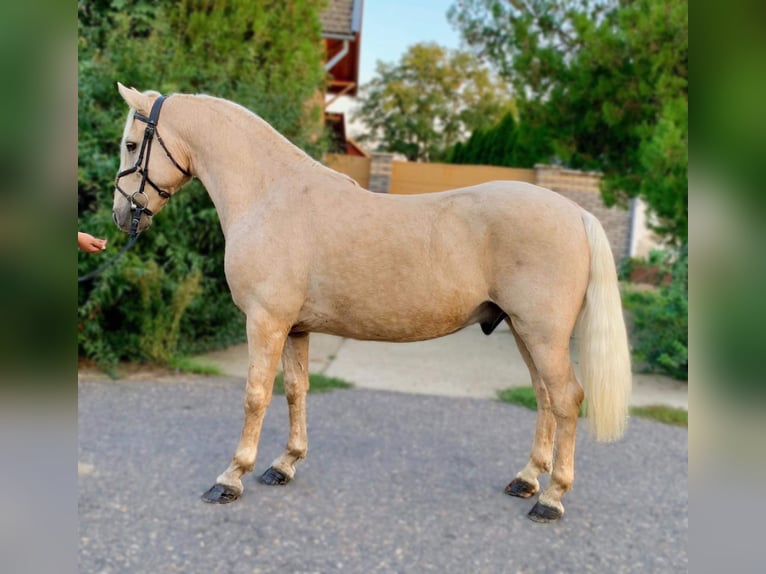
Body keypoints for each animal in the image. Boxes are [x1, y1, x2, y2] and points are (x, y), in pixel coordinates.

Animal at [112, 84, 632, 520]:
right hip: (526, 332)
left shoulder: (266, 321)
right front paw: (284, 464)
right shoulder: (295, 328)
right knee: (545, 398)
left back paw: (552, 498)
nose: (121, 215)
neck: (270, 195)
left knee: (566, 400)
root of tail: (575, 212)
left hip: (542, 334)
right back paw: (527, 480)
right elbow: (296, 390)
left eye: (132, 145)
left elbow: (256, 395)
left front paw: (231, 477)